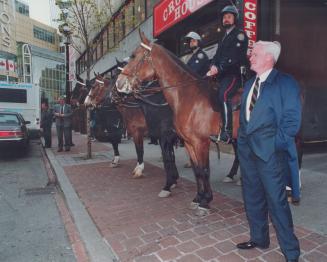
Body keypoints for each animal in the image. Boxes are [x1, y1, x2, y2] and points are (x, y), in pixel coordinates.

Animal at [116, 32, 243, 215]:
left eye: (134, 56)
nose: (119, 83)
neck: (188, 97)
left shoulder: (200, 142)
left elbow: (204, 170)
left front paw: (205, 202)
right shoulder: (189, 142)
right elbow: (197, 171)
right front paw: (198, 198)